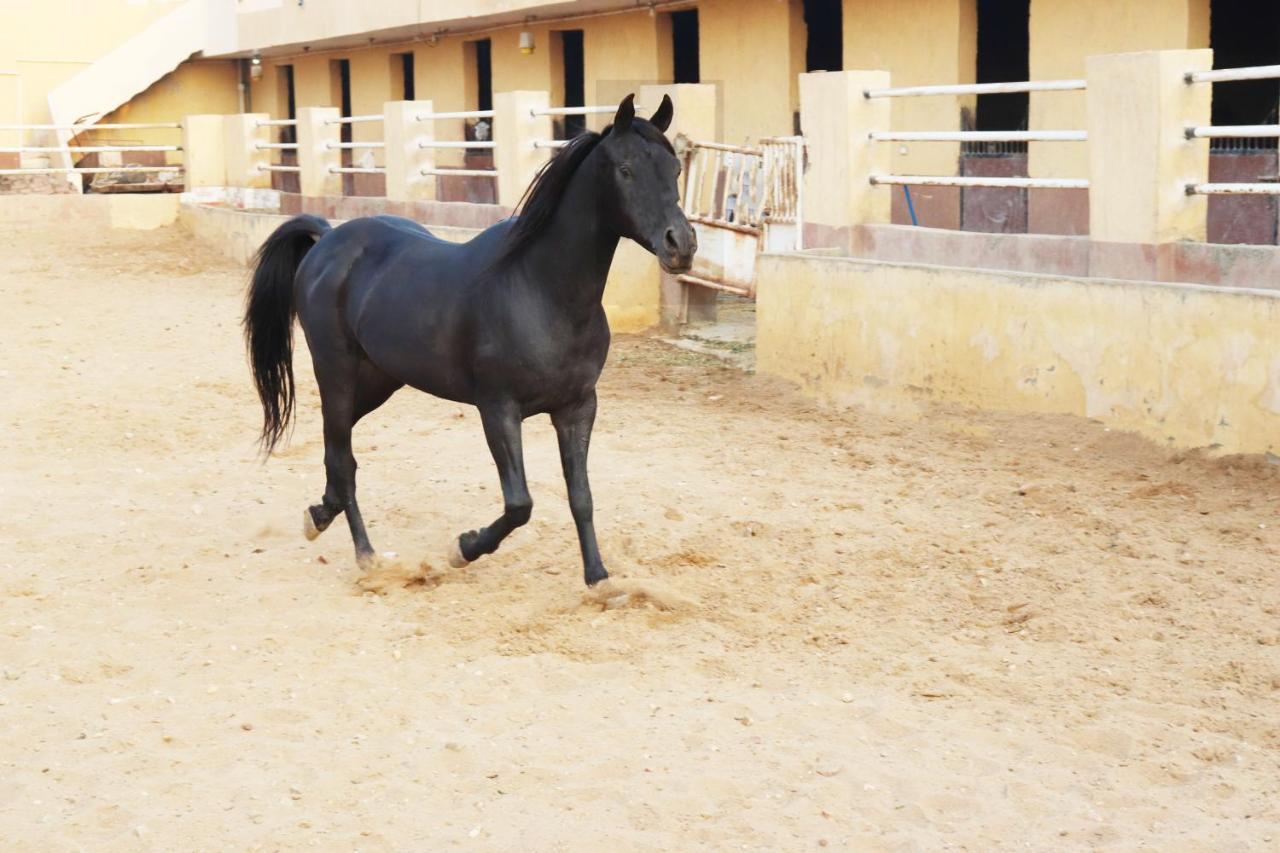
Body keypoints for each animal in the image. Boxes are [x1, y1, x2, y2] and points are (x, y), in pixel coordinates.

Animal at [243, 94, 696, 584]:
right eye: (626, 168)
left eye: (675, 169)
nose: (681, 244)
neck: (540, 289)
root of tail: (326, 239)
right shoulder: (498, 409)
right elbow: (520, 504)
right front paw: (463, 548)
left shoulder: (577, 408)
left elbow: (582, 497)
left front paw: (598, 578)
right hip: (336, 371)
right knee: (342, 459)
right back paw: (367, 556)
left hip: (381, 379)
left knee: (336, 444)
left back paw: (319, 516)